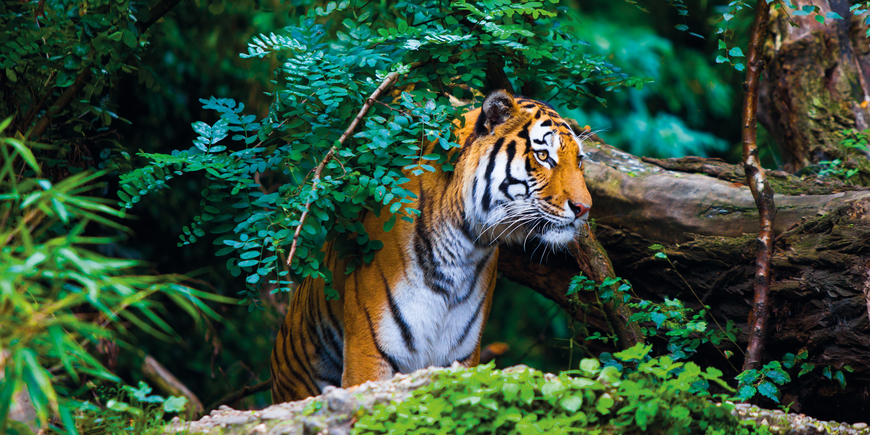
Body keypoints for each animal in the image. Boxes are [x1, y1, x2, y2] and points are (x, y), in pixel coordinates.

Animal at [270, 89, 593, 403]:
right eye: (543, 156)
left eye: (579, 161)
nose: (585, 208)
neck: (464, 248)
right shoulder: (368, 352)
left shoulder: (461, 355)